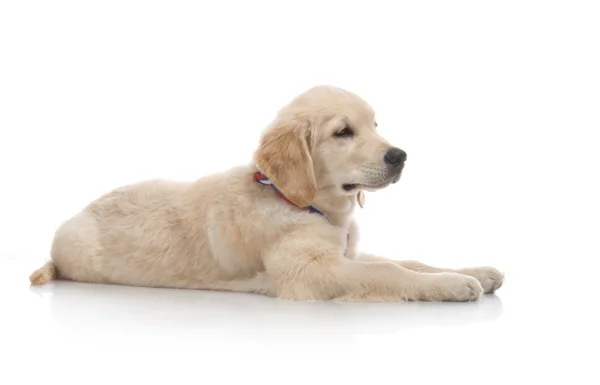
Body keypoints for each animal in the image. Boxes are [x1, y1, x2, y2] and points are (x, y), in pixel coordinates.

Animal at [30, 86, 504, 300]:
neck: (298, 201)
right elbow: (390, 271)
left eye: (374, 125)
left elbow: (407, 260)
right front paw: (452, 285)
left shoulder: (345, 250)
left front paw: (475, 271)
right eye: (343, 132)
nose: (400, 156)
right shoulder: (311, 273)